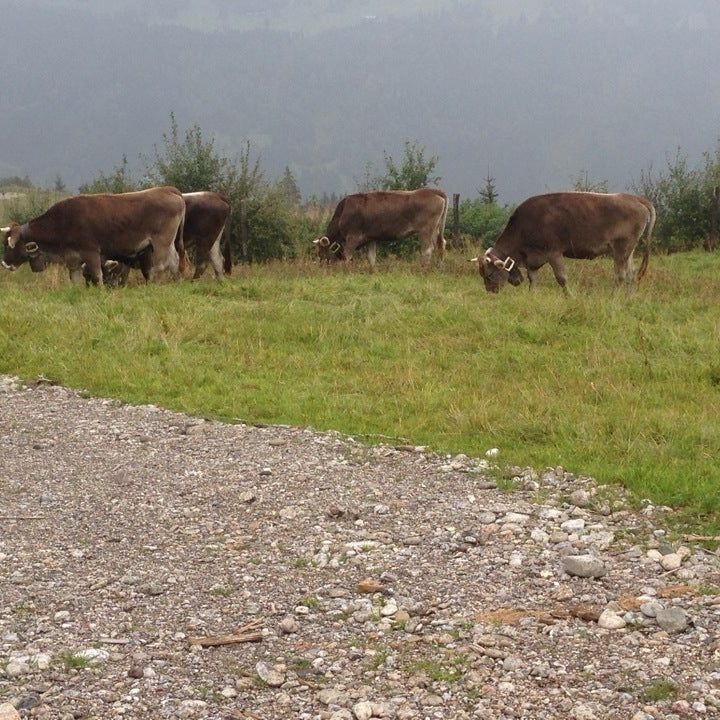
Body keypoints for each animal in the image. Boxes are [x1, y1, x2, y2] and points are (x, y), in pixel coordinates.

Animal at [0, 187, 186, 286]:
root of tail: (167, 189)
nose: (4, 263)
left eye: (9, 244)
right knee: (174, 261)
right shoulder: (73, 259)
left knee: (160, 266)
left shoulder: (91, 252)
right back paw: (177, 282)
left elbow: (97, 276)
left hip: (161, 242)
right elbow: (74, 280)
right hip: (168, 243)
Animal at [312, 187, 448, 266]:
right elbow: (371, 258)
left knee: (427, 250)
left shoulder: (352, 237)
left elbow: (347, 255)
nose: (321, 265)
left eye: (322, 250)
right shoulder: (371, 238)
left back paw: (423, 269)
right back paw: (439, 267)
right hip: (436, 229)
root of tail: (434, 191)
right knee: (440, 245)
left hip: (426, 230)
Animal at [470, 191, 656, 296]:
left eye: (489, 275)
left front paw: (569, 297)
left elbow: (561, 278)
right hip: (628, 250)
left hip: (622, 247)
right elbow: (533, 279)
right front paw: (532, 296)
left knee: (621, 275)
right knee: (631, 273)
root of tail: (634, 198)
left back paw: (613, 297)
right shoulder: (533, 258)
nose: (491, 291)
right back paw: (629, 298)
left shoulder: (554, 252)